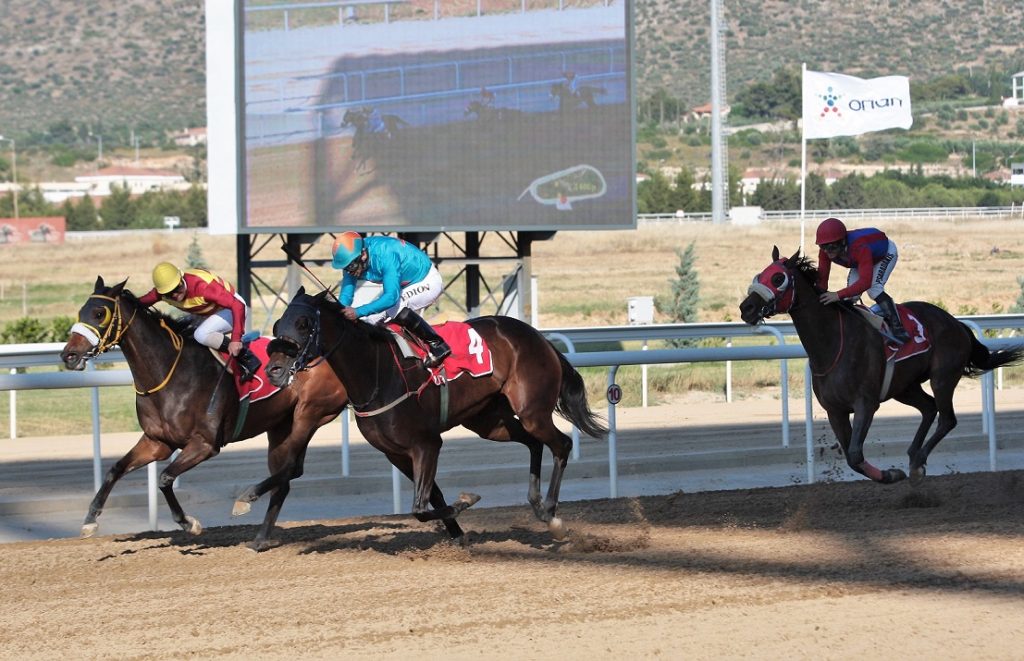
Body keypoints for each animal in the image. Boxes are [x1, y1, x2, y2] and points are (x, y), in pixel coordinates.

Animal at [60, 276, 348, 552]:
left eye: (99, 313)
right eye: (81, 311)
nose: (68, 355)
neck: (170, 373)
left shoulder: (205, 444)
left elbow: (165, 478)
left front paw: (189, 523)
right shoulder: (157, 442)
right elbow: (115, 469)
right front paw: (90, 521)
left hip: (308, 415)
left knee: (291, 468)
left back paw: (245, 501)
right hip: (280, 426)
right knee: (285, 479)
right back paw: (260, 538)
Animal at [262, 286, 606, 540]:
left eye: (304, 324)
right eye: (278, 325)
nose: (274, 371)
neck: (377, 373)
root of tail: (539, 337)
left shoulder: (426, 443)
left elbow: (420, 506)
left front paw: (465, 502)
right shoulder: (396, 453)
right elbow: (432, 498)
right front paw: (457, 533)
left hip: (532, 410)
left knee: (561, 444)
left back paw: (552, 516)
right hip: (489, 422)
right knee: (534, 443)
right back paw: (537, 505)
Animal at [741, 248, 1019, 487]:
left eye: (778, 278)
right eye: (758, 276)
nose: (746, 308)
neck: (832, 344)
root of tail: (956, 323)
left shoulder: (866, 403)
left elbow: (855, 454)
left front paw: (892, 474)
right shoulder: (835, 411)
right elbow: (852, 458)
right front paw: (892, 473)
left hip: (943, 377)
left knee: (947, 418)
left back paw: (917, 463)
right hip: (904, 387)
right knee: (929, 408)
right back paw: (913, 455)